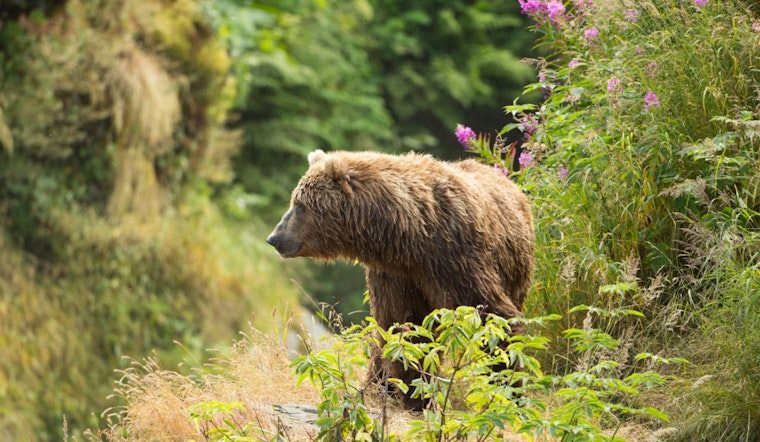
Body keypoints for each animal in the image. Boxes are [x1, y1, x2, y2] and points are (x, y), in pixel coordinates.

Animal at [267, 149, 534, 409]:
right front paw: (394, 390)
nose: (274, 238)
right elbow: (401, 325)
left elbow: (492, 314)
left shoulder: (454, 259)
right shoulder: (395, 275)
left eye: (299, 204)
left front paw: (505, 387)